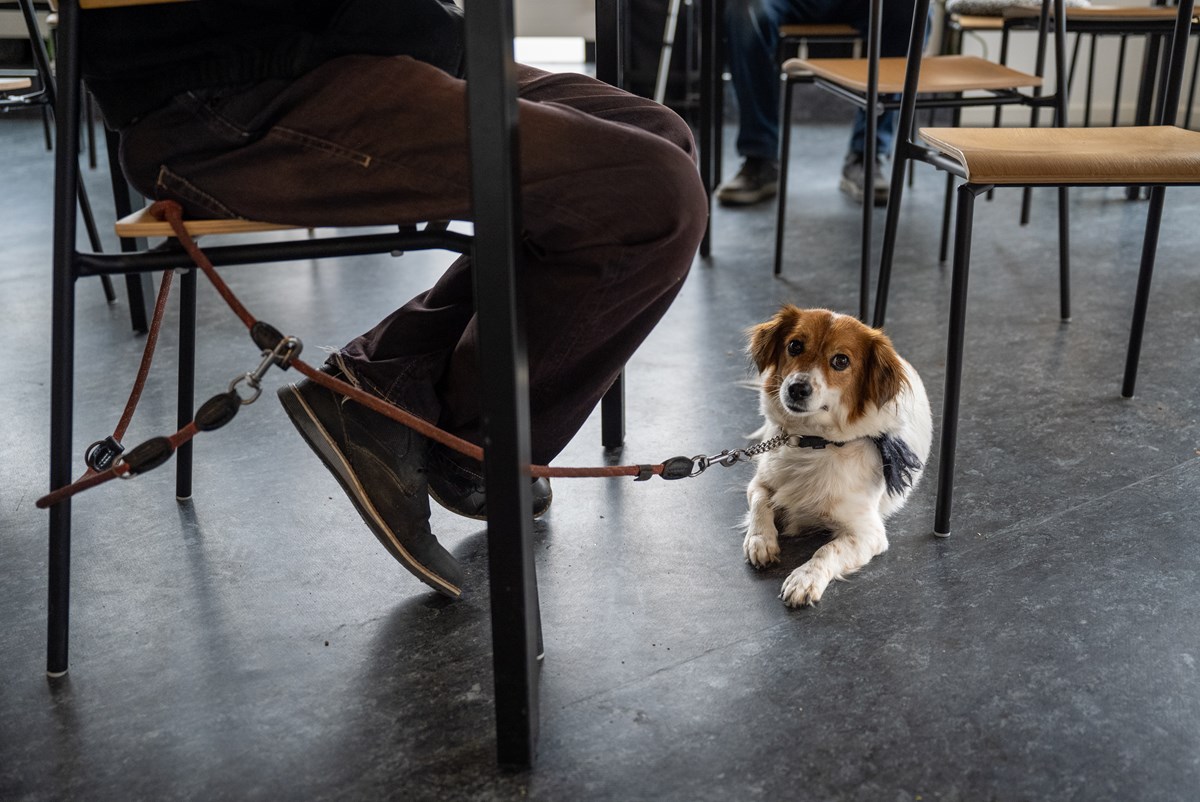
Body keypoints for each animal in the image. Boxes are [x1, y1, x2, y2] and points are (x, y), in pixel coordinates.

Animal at [744, 303, 931, 605]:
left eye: (841, 361)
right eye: (795, 345)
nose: (797, 388)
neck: (811, 442)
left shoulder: (868, 532)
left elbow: (828, 550)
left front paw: (804, 578)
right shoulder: (760, 481)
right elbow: (760, 502)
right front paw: (760, 540)